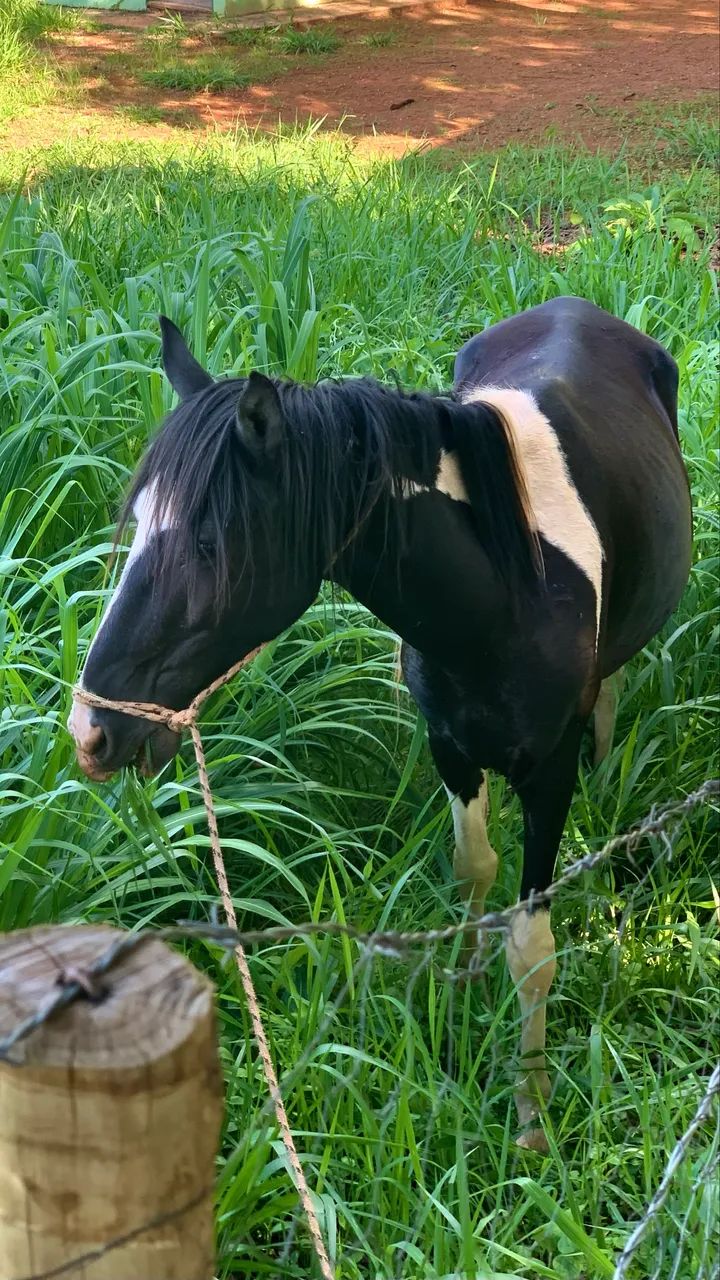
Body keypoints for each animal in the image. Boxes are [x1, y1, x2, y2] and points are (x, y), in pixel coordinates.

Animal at [69, 296, 692, 1150]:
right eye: (134, 528)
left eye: (209, 544)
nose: (91, 732)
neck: (508, 594)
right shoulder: (451, 747)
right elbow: (474, 870)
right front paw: (461, 988)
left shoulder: (547, 775)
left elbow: (533, 947)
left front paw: (531, 1113)